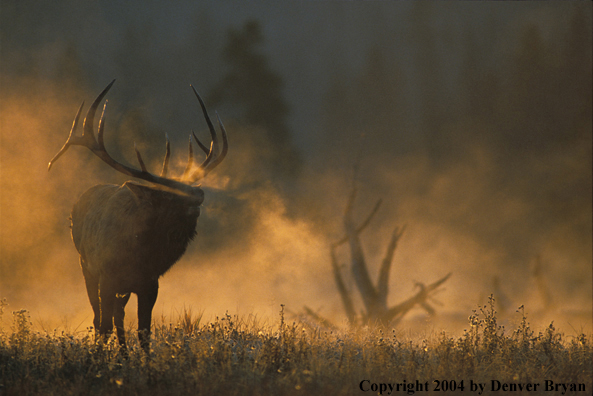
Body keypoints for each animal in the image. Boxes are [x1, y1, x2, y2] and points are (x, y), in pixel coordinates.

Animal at [47, 81, 228, 350]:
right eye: (169, 196)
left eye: (192, 190)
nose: (199, 195)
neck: (139, 254)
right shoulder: (107, 276)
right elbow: (104, 325)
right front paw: (99, 357)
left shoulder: (150, 284)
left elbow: (144, 331)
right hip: (85, 266)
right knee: (100, 317)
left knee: (119, 316)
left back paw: (123, 352)